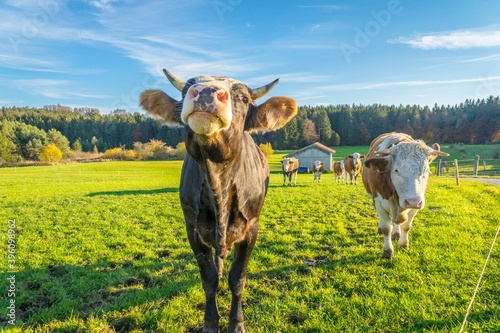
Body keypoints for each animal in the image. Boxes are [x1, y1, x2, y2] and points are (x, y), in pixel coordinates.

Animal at [140, 68, 296, 330]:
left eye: (244, 98)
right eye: (185, 90)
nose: (206, 91)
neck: (218, 183)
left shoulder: (251, 228)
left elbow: (238, 279)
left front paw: (237, 322)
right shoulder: (193, 229)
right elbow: (209, 279)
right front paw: (211, 322)